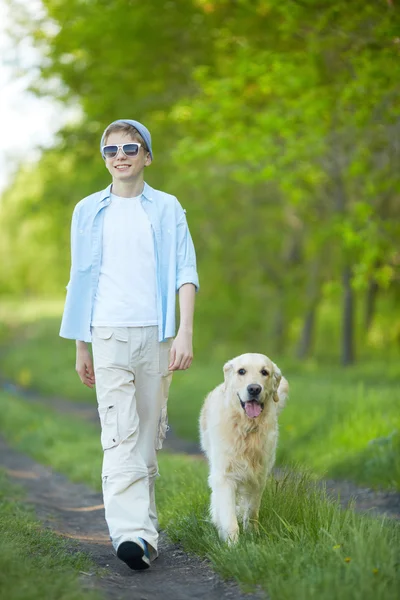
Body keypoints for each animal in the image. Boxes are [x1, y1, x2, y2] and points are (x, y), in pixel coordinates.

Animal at [199, 352, 288, 544]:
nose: (254, 389)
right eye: (241, 371)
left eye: (264, 372)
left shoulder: (259, 476)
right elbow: (228, 516)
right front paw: (232, 545)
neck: (246, 429)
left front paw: (252, 534)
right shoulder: (225, 476)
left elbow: (252, 510)